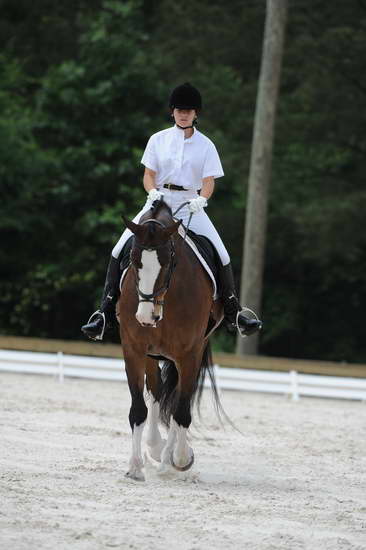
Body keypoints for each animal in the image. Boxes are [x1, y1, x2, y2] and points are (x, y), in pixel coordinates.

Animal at [120, 202, 223, 484]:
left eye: (167, 263)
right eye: (133, 260)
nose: (146, 317)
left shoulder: (190, 354)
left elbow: (181, 411)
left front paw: (179, 459)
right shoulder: (134, 350)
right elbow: (138, 409)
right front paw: (135, 468)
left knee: (179, 402)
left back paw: (170, 457)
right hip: (153, 356)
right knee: (157, 393)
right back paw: (156, 448)